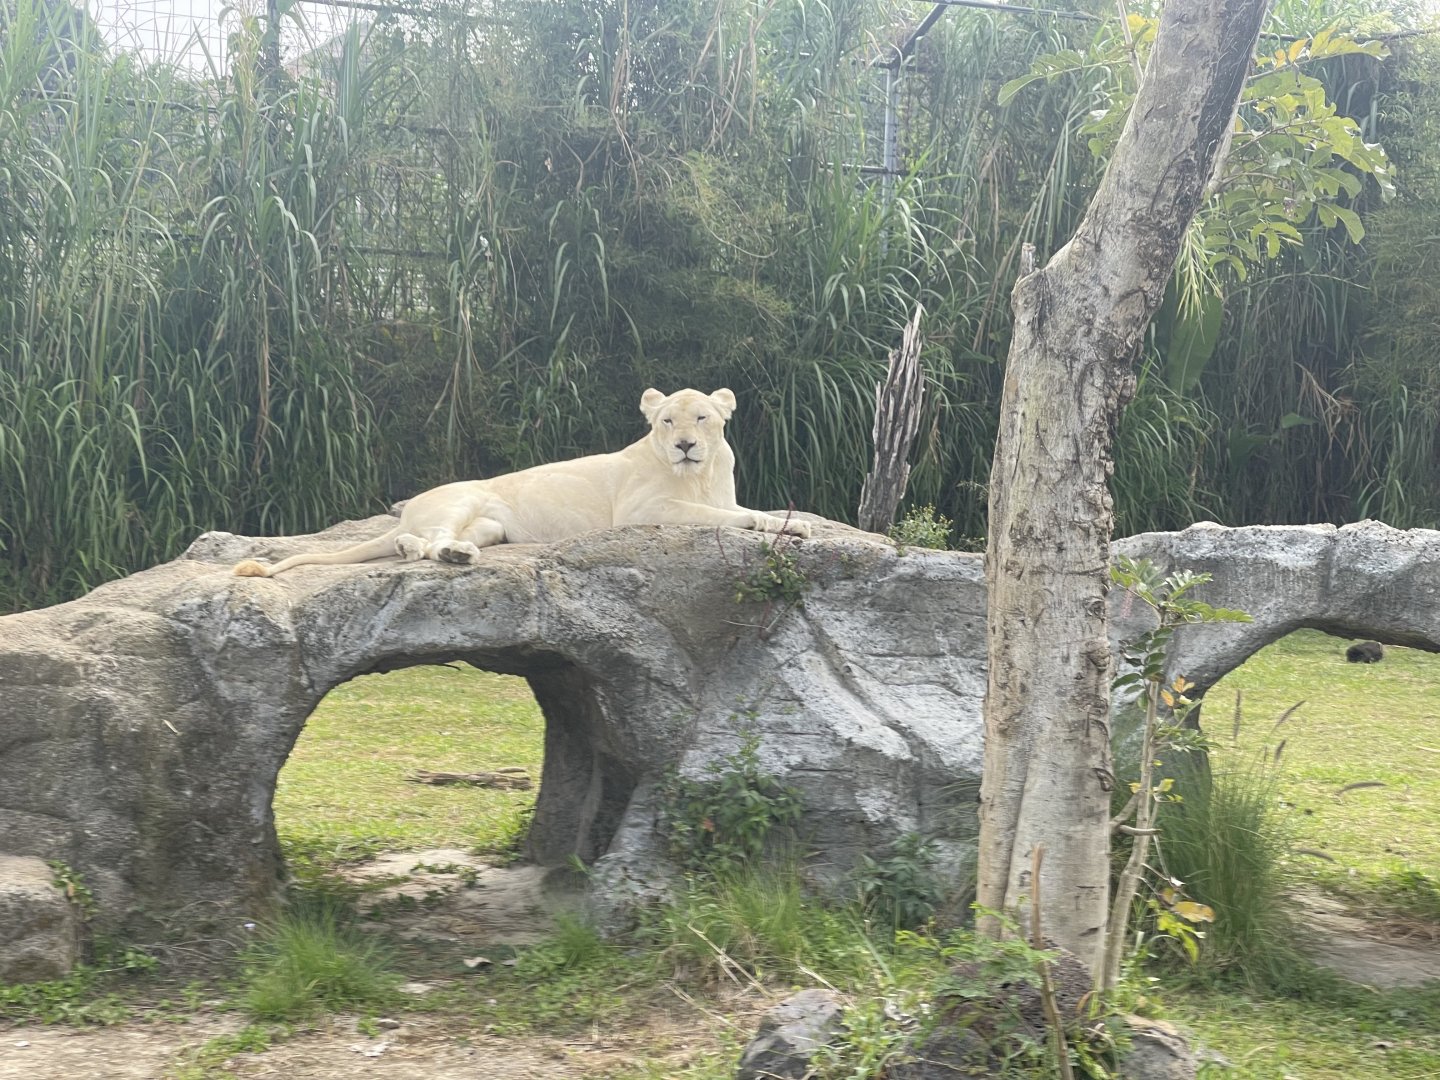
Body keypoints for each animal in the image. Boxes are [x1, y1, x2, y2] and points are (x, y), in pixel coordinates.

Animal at [232, 387, 810, 577]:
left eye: (703, 419)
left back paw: (447, 552)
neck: (697, 474)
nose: (685, 445)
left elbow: (746, 508)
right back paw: (438, 554)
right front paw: (772, 525)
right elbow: (722, 516)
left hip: (492, 527)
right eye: (667, 421)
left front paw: (795, 524)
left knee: (431, 543)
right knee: (429, 541)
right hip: (462, 498)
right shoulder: (644, 511)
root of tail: (412, 507)